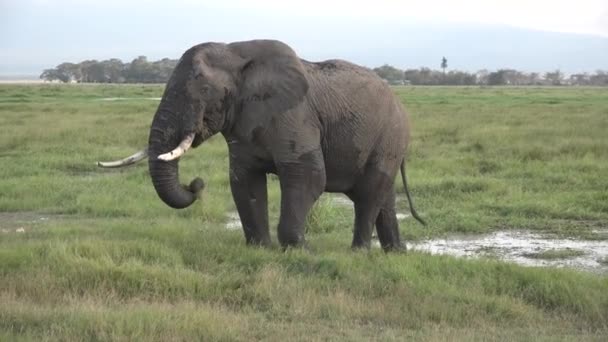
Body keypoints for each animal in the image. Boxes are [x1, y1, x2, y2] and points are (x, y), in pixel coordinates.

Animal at [98, 39, 422, 251]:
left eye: (204, 89)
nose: (196, 183)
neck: (236, 53)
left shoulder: (296, 114)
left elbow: (308, 176)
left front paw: (296, 250)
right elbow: (244, 180)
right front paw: (259, 248)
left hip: (389, 138)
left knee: (369, 195)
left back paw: (359, 252)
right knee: (382, 197)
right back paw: (394, 253)